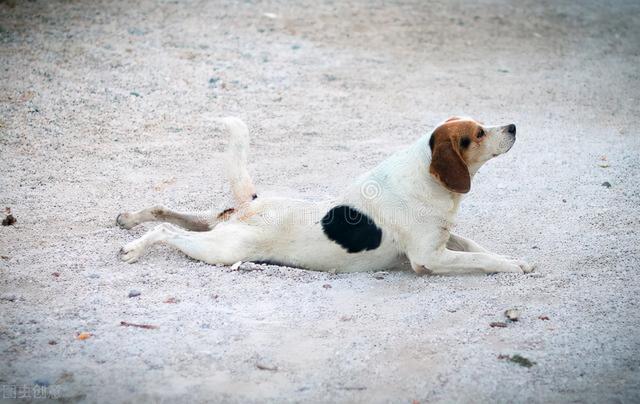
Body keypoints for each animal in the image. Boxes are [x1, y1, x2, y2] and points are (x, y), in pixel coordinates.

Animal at [116, 115, 536, 276]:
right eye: (478, 133)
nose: (514, 126)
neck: (425, 177)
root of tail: (251, 205)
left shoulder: (446, 238)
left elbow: (478, 247)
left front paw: (516, 260)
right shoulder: (429, 258)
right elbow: (482, 259)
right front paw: (513, 266)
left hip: (214, 225)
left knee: (165, 211)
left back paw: (129, 219)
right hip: (222, 249)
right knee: (167, 233)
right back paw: (133, 248)